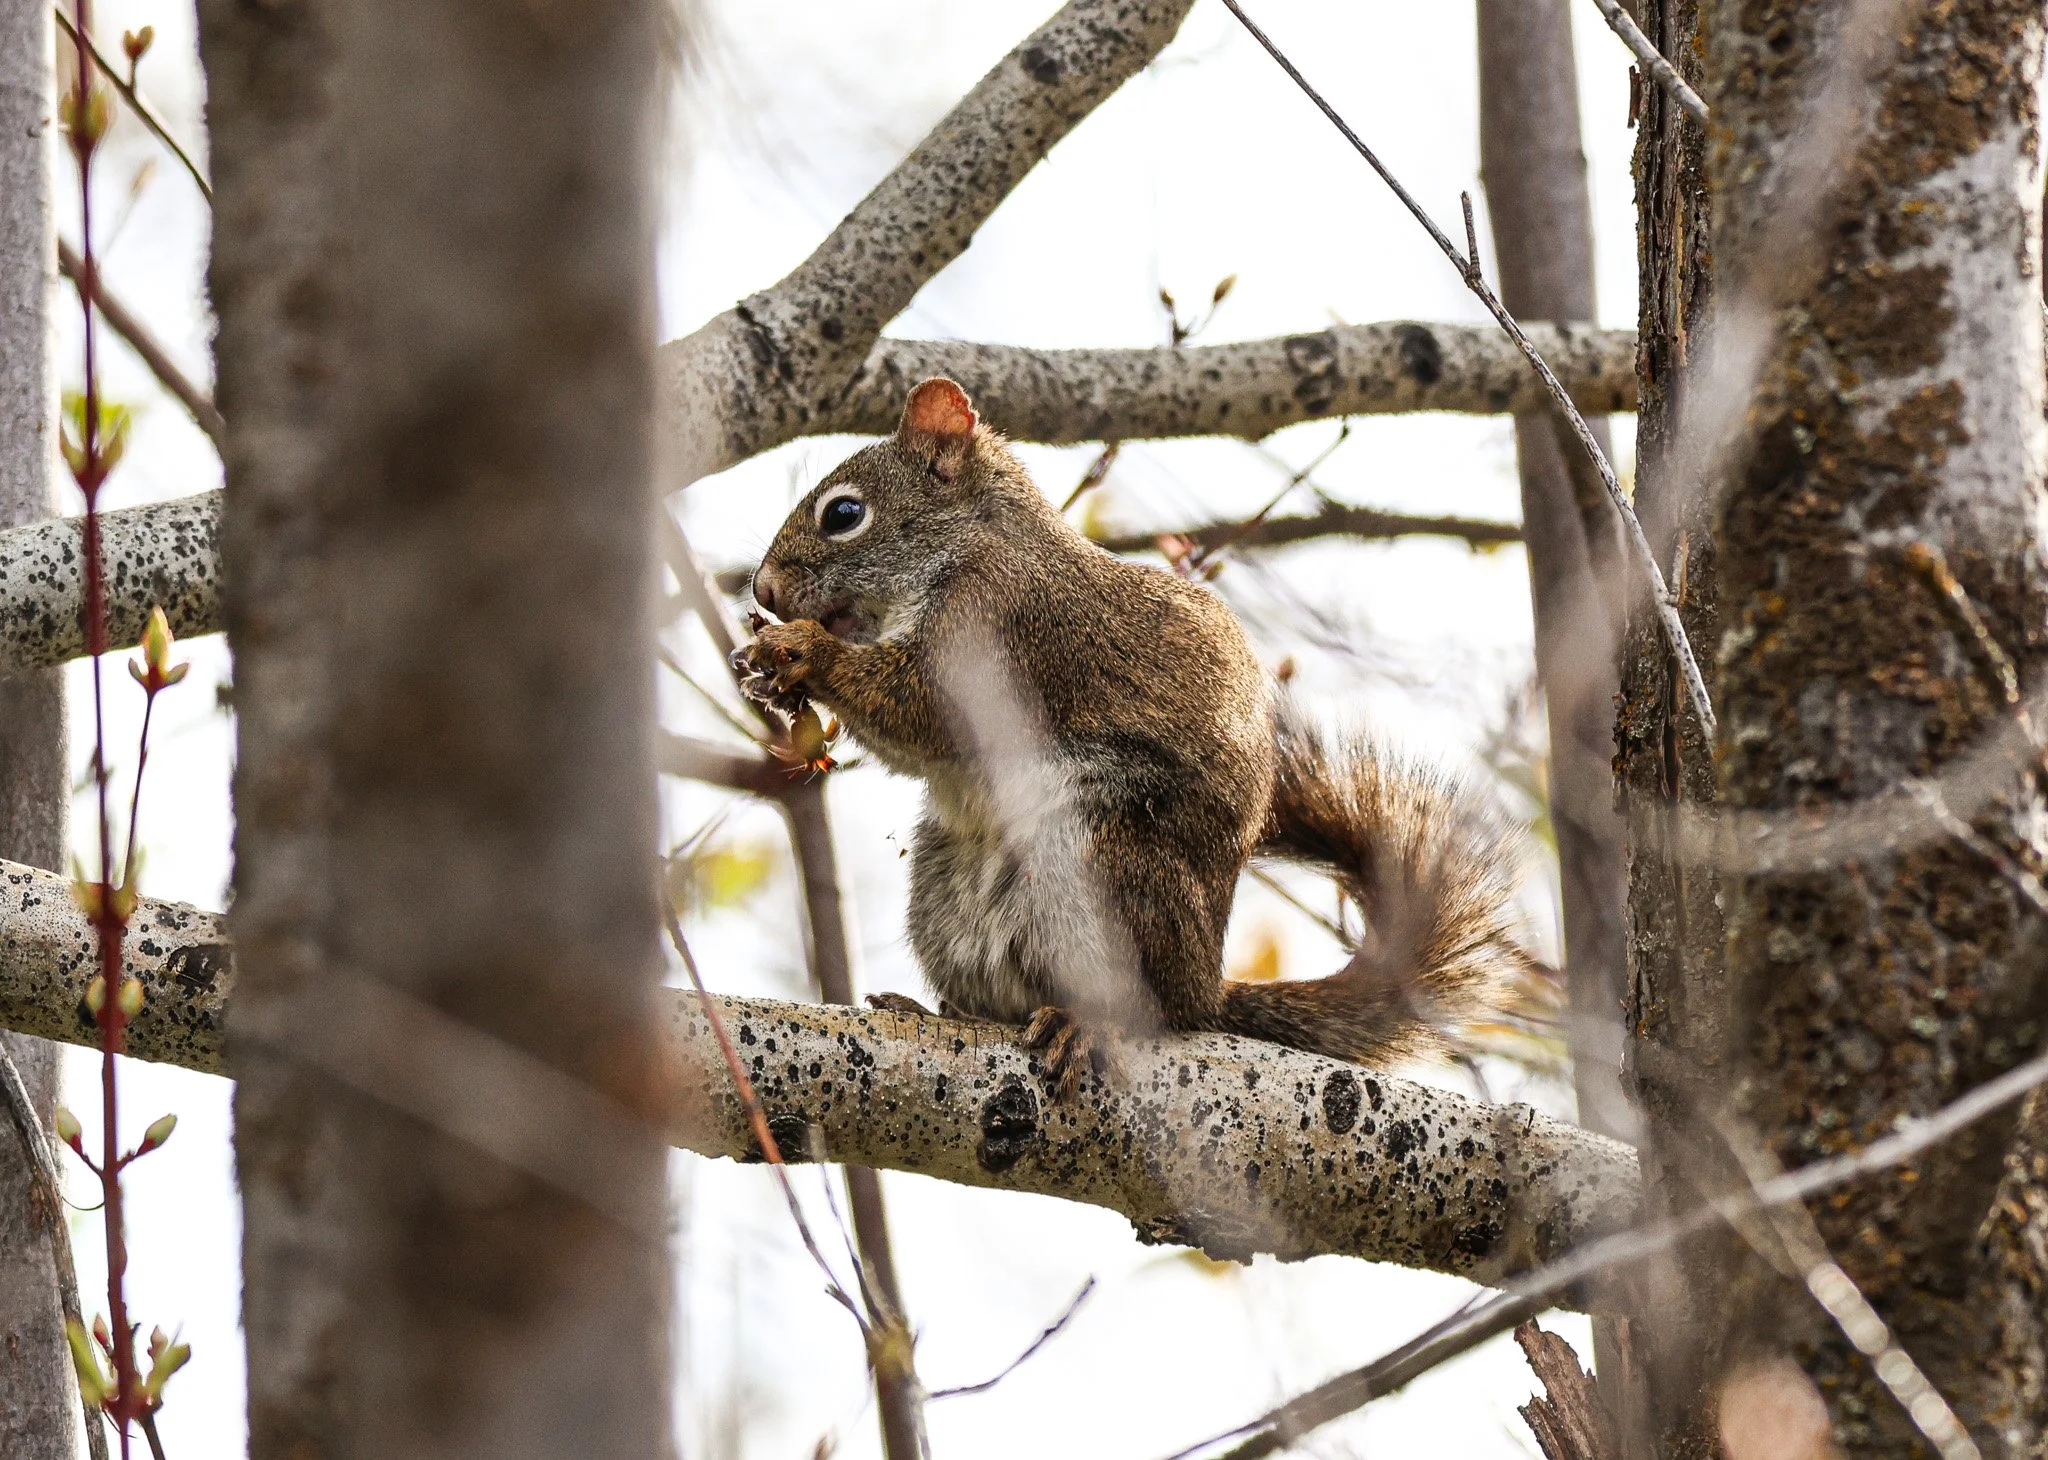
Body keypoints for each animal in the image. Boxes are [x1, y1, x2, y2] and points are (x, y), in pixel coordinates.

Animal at [735, 377, 1535, 1089]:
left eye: (844, 512)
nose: (764, 591)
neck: (969, 549)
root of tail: (1205, 988)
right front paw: (768, 676)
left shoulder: (1004, 628)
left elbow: (919, 708)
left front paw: (802, 652)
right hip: (945, 885)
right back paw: (940, 1009)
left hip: (1103, 864)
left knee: (1141, 1010)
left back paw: (1083, 1025)